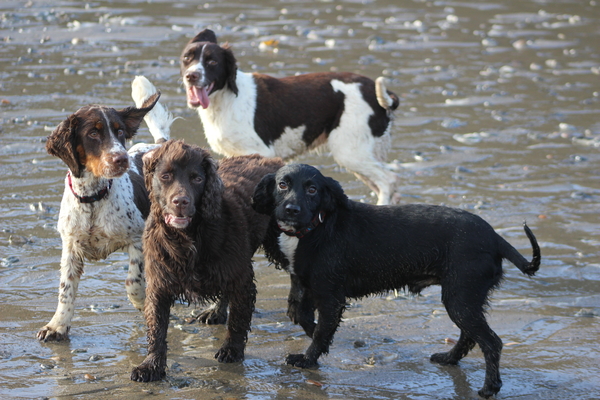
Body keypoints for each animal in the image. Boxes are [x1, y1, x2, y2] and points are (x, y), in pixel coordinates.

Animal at [180, 27, 400, 206]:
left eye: (212, 61)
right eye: (186, 59)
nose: (191, 76)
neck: (226, 99)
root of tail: (375, 91)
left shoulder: (261, 153)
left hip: (350, 152)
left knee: (388, 181)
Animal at [251, 163, 540, 400]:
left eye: (312, 189)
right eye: (282, 184)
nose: (292, 209)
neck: (316, 228)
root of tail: (495, 237)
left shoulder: (331, 297)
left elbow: (322, 330)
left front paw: (308, 359)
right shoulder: (306, 286)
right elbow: (300, 314)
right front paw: (315, 338)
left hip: (460, 297)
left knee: (491, 342)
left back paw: (489, 388)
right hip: (465, 299)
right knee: (470, 335)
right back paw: (448, 358)